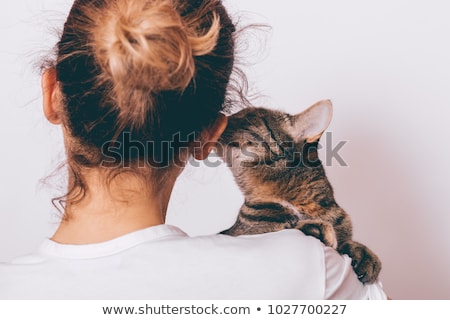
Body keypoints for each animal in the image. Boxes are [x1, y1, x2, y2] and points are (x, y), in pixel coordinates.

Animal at [220, 100, 382, 284]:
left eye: (248, 116)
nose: (226, 117)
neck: (299, 204)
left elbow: (346, 242)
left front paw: (363, 254)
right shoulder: (245, 232)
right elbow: (289, 227)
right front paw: (315, 228)